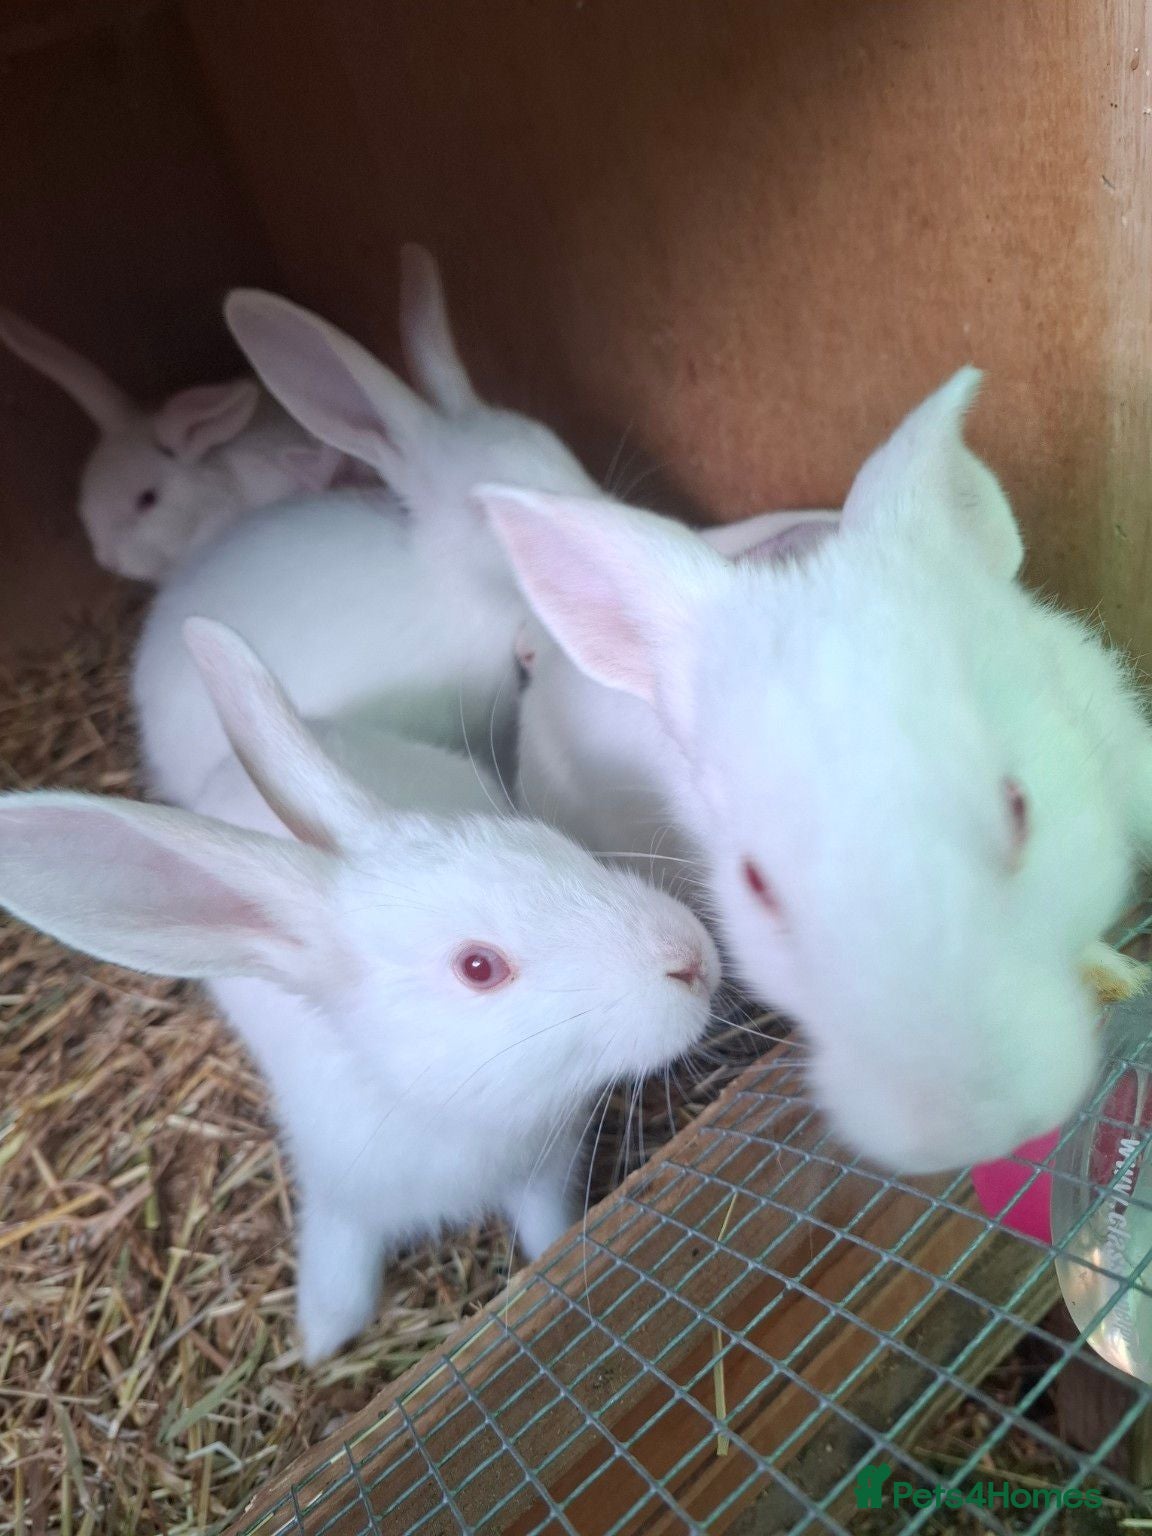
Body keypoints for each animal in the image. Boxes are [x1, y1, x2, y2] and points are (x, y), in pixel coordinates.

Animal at [0, 618, 717, 1362]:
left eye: (547, 840)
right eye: (478, 967)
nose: (692, 959)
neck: (436, 1109)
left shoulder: (539, 1177)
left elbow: (550, 1236)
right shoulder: (342, 1201)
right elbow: (342, 1282)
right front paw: (317, 1346)